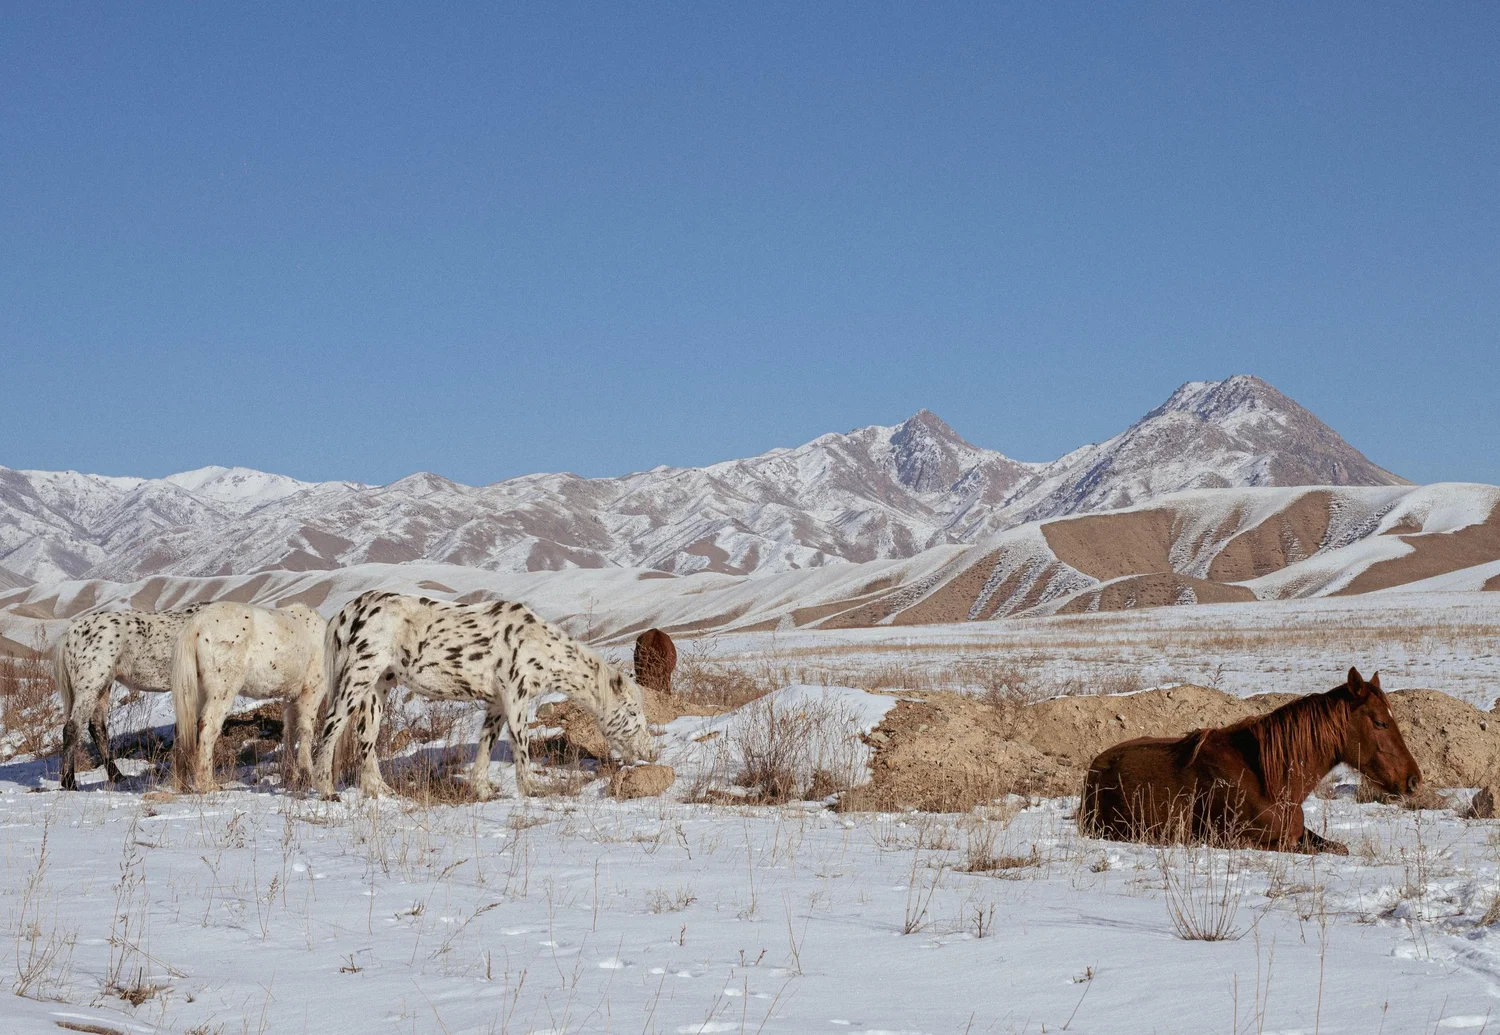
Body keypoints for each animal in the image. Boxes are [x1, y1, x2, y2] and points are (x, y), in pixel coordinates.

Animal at [52, 604, 204, 790]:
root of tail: (70, 634)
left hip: (103, 686)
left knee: (97, 727)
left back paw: (117, 776)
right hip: (91, 685)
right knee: (72, 728)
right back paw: (70, 782)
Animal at [171, 602, 328, 793]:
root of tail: (196, 625)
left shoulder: (291, 696)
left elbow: (290, 732)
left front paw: (290, 776)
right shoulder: (312, 688)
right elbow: (305, 729)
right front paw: (306, 774)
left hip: (196, 690)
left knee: (183, 727)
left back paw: (181, 785)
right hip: (223, 688)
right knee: (208, 727)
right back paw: (207, 784)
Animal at [311, 591, 657, 800]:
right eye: (632, 714)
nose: (647, 754)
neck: (536, 643)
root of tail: (346, 611)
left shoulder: (497, 703)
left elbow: (487, 744)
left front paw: (482, 789)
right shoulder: (516, 696)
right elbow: (521, 744)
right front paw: (531, 789)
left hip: (377, 687)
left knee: (366, 737)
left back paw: (381, 790)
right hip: (357, 679)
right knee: (331, 729)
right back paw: (325, 789)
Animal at [1079, 668, 1421, 854]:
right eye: (1380, 722)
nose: (1413, 779)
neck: (1268, 780)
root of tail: (1096, 768)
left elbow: (1340, 849)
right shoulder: (1239, 840)